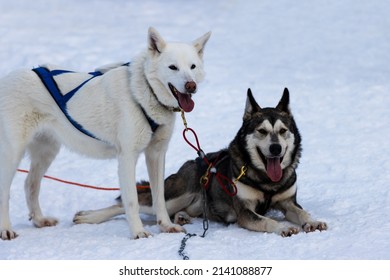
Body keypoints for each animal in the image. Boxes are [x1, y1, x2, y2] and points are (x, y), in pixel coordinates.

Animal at [0, 27, 210, 240]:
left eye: (192, 66)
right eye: (173, 67)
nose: (191, 85)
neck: (143, 93)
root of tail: (7, 78)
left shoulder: (156, 154)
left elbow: (158, 198)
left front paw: (166, 226)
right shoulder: (127, 157)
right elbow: (132, 201)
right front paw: (138, 232)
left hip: (46, 152)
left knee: (30, 184)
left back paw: (40, 220)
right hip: (12, 154)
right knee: (5, 190)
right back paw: (6, 229)